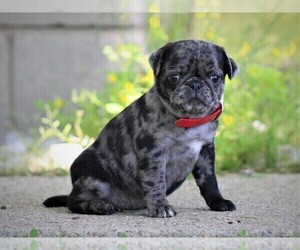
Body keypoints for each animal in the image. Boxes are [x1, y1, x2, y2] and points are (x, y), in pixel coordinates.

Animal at [42, 39, 239, 217]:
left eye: (215, 78)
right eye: (174, 77)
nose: (195, 84)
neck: (188, 119)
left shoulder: (205, 152)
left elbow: (209, 180)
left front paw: (218, 201)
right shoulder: (153, 152)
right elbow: (156, 181)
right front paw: (160, 206)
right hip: (93, 178)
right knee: (74, 202)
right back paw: (98, 205)